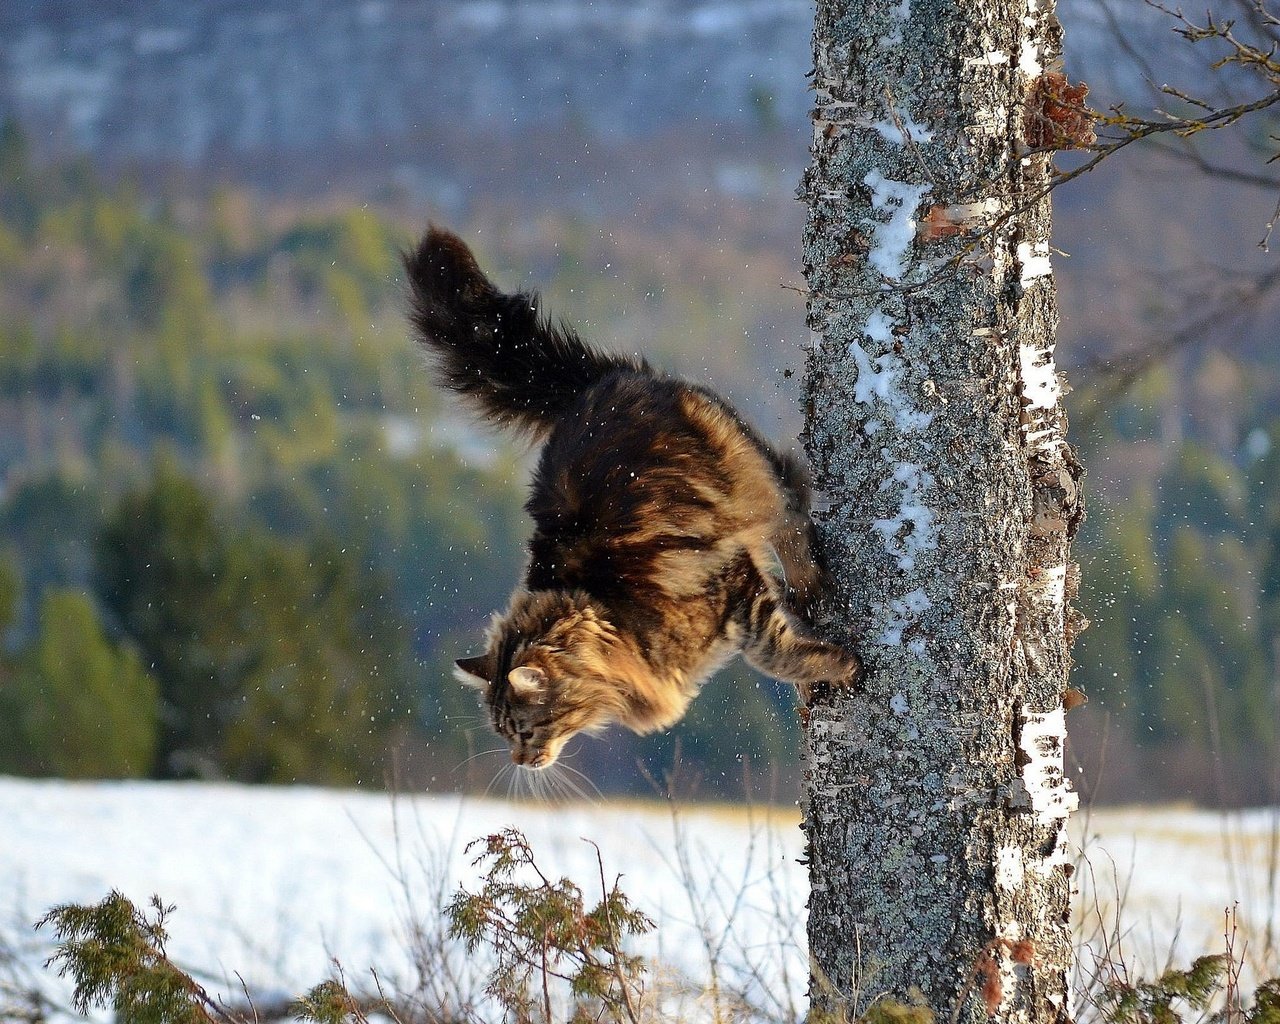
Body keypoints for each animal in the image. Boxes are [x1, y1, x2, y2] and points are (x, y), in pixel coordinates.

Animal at [401, 224, 860, 768]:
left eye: (525, 728)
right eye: (501, 732)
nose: (521, 762)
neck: (609, 614)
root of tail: (600, 382)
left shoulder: (729, 582)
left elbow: (775, 654)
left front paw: (840, 667)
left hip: (747, 474)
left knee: (790, 509)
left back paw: (808, 584)